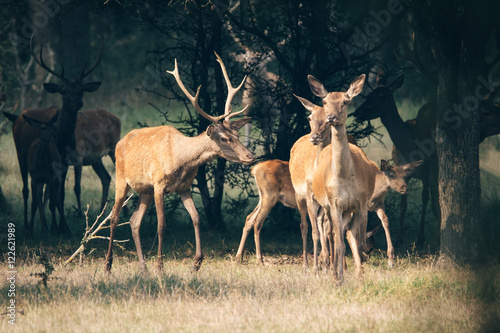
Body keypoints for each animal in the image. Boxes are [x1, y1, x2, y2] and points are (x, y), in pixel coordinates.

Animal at [104, 53, 254, 272]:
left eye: (236, 134)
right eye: (224, 138)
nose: (250, 156)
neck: (181, 160)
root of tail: (120, 141)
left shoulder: (184, 187)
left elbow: (196, 217)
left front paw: (196, 262)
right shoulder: (158, 184)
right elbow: (161, 225)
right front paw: (160, 266)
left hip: (144, 190)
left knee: (134, 221)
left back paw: (143, 268)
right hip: (122, 178)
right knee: (114, 218)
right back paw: (108, 265)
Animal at [308, 73, 368, 282]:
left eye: (346, 101)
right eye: (324, 101)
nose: (331, 117)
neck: (344, 177)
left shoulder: (361, 203)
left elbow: (359, 242)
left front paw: (359, 276)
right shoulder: (334, 203)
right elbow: (338, 241)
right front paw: (338, 279)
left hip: (348, 210)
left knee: (344, 234)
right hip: (326, 206)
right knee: (332, 234)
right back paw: (333, 271)